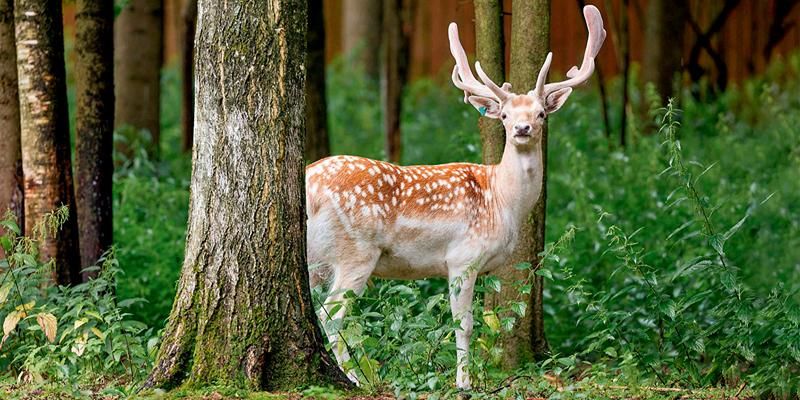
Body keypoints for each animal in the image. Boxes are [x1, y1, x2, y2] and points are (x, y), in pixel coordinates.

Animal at [306, 4, 608, 390]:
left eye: (541, 113)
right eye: (505, 114)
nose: (522, 128)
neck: (502, 202)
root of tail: (308, 184)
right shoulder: (462, 258)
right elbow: (463, 324)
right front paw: (464, 382)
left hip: (319, 259)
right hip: (355, 252)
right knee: (331, 315)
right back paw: (357, 379)